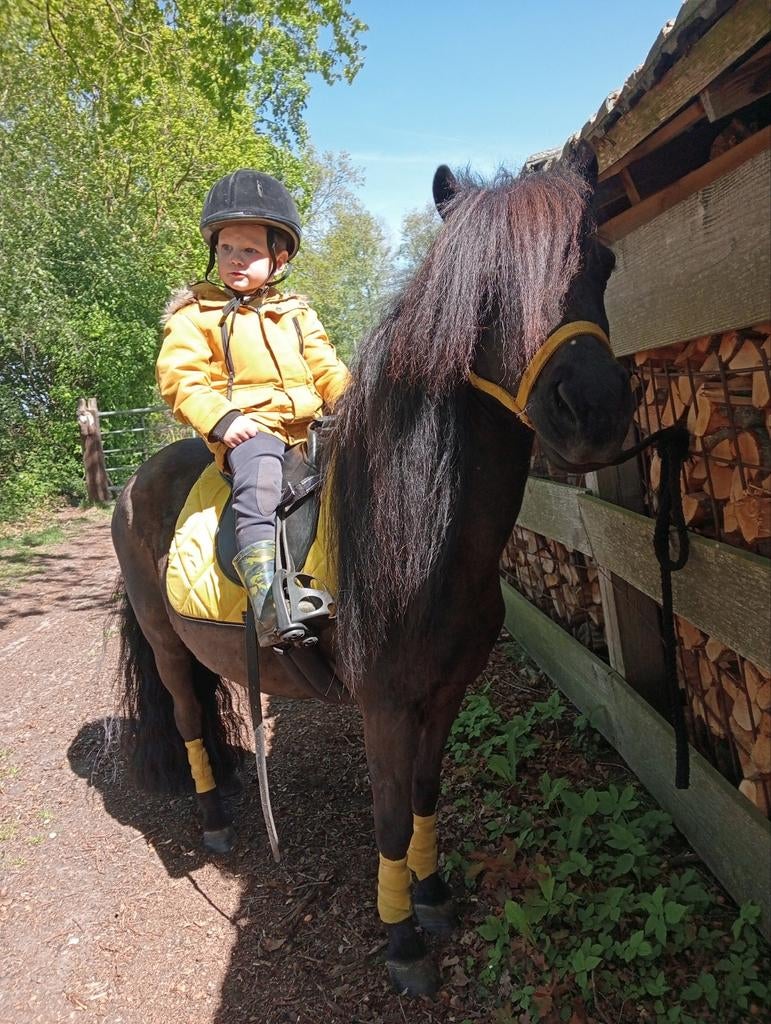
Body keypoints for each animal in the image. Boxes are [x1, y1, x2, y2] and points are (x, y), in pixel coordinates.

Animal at [111, 144, 634, 996]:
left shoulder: (445, 693)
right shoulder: (384, 707)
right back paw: (215, 817)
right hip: (163, 644)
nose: (593, 411)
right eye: (485, 291)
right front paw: (401, 940)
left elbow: (423, 797)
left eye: (603, 263)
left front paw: (433, 894)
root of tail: (134, 481)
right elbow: (388, 816)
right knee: (186, 713)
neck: (423, 546)